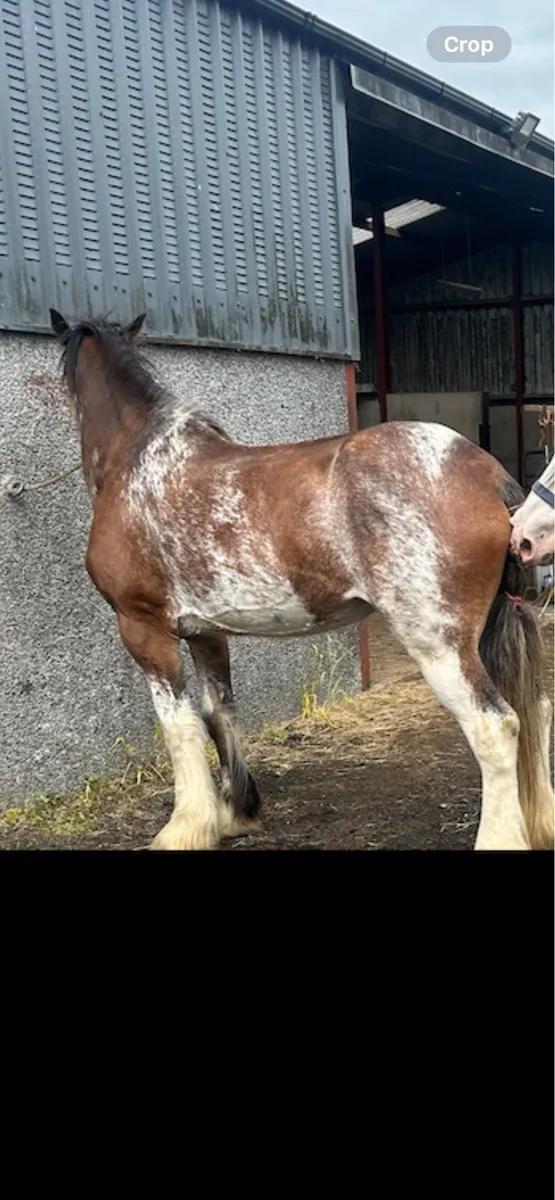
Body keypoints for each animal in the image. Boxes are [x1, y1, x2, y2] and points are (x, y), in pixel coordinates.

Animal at [49, 308, 554, 852]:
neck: (140, 460)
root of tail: (486, 474)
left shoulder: (144, 628)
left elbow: (180, 727)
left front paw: (185, 828)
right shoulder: (207, 633)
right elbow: (219, 712)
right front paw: (236, 812)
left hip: (439, 644)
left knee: (495, 727)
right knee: (536, 709)